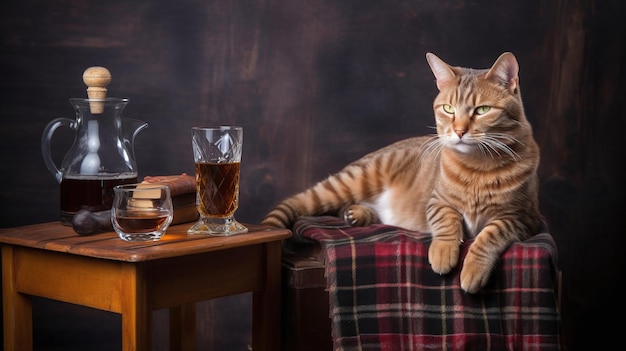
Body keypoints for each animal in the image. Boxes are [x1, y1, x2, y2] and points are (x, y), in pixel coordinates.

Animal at [260, 52, 540, 294]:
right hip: (353, 179)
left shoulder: (523, 218)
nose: (459, 131)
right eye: (448, 109)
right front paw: (443, 252)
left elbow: (490, 234)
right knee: (300, 201)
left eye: (482, 110)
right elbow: (447, 221)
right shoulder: (437, 202)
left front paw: (473, 269)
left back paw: (357, 214)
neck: (478, 166)